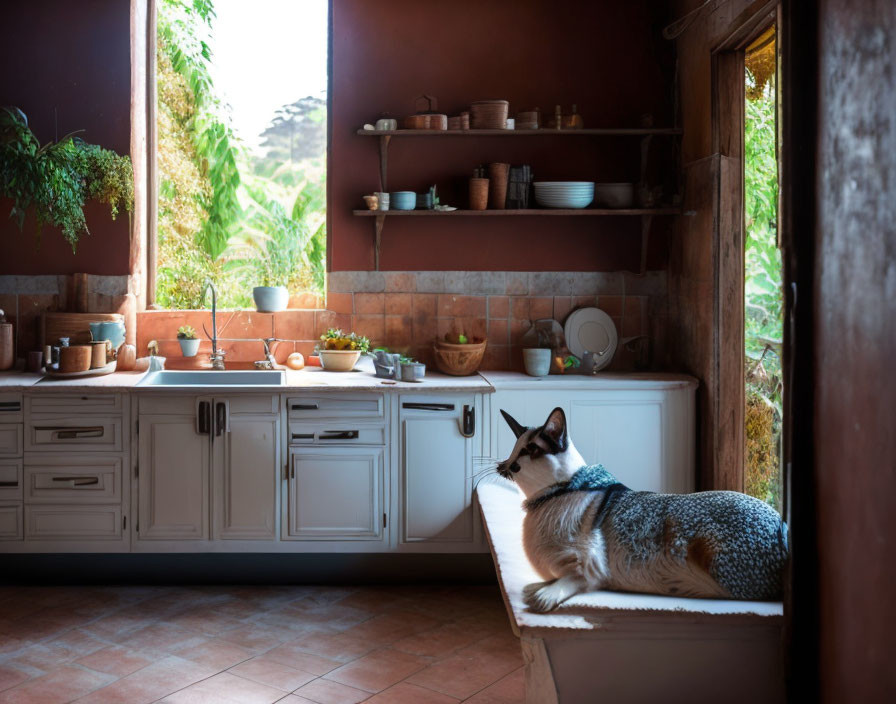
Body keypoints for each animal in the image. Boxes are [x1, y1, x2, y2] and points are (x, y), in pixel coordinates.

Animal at [496, 410, 792, 612]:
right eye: (513, 449)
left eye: (531, 450)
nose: (504, 465)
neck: (560, 493)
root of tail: (782, 527)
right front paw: (540, 586)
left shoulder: (591, 564)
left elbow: (575, 578)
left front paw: (546, 594)